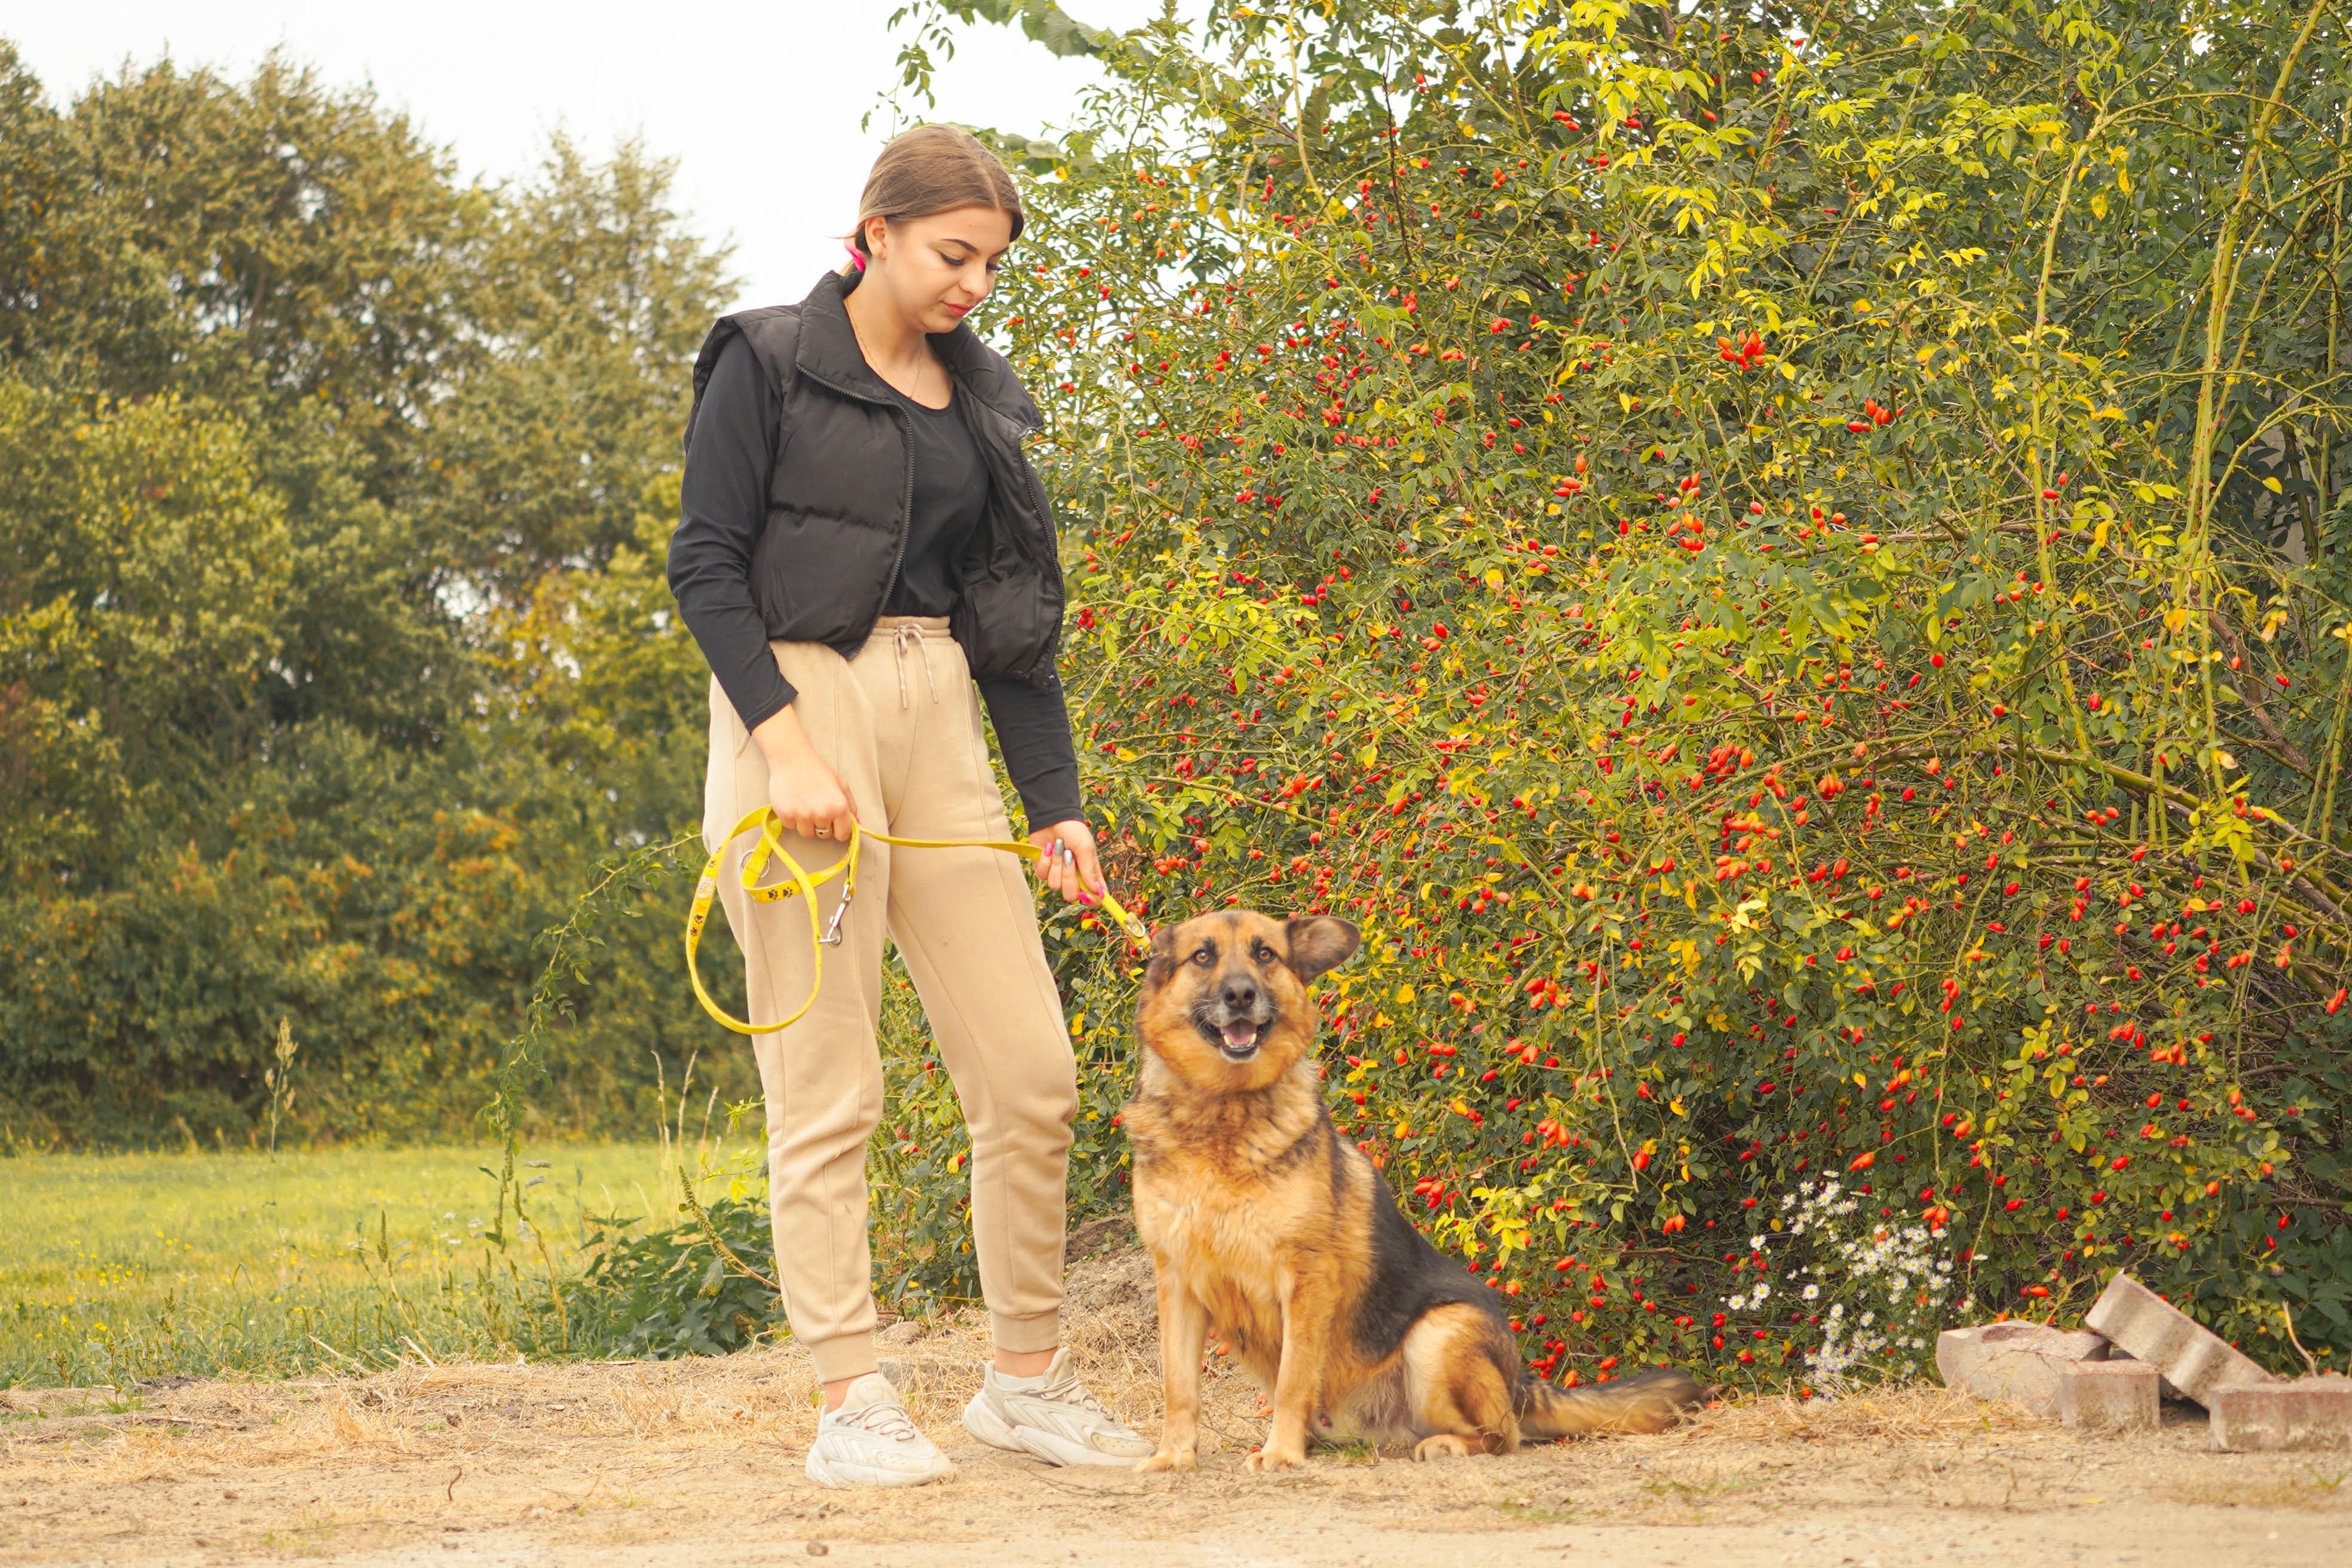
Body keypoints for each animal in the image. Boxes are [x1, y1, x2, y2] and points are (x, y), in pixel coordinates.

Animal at [1124, 907, 1702, 1476]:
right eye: (1203, 956)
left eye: (1265, 954)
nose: (1241, 995)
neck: (1223, 1111)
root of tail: (1520, 1382)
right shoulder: (1177, 1284)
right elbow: (1180, 1388)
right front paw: (1174, 1455)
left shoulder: (1305, 1279)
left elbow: (1292, 1380)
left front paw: (1281, 1453)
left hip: (1437, 1334)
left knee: (1502, 1437)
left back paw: (1444, 1445)